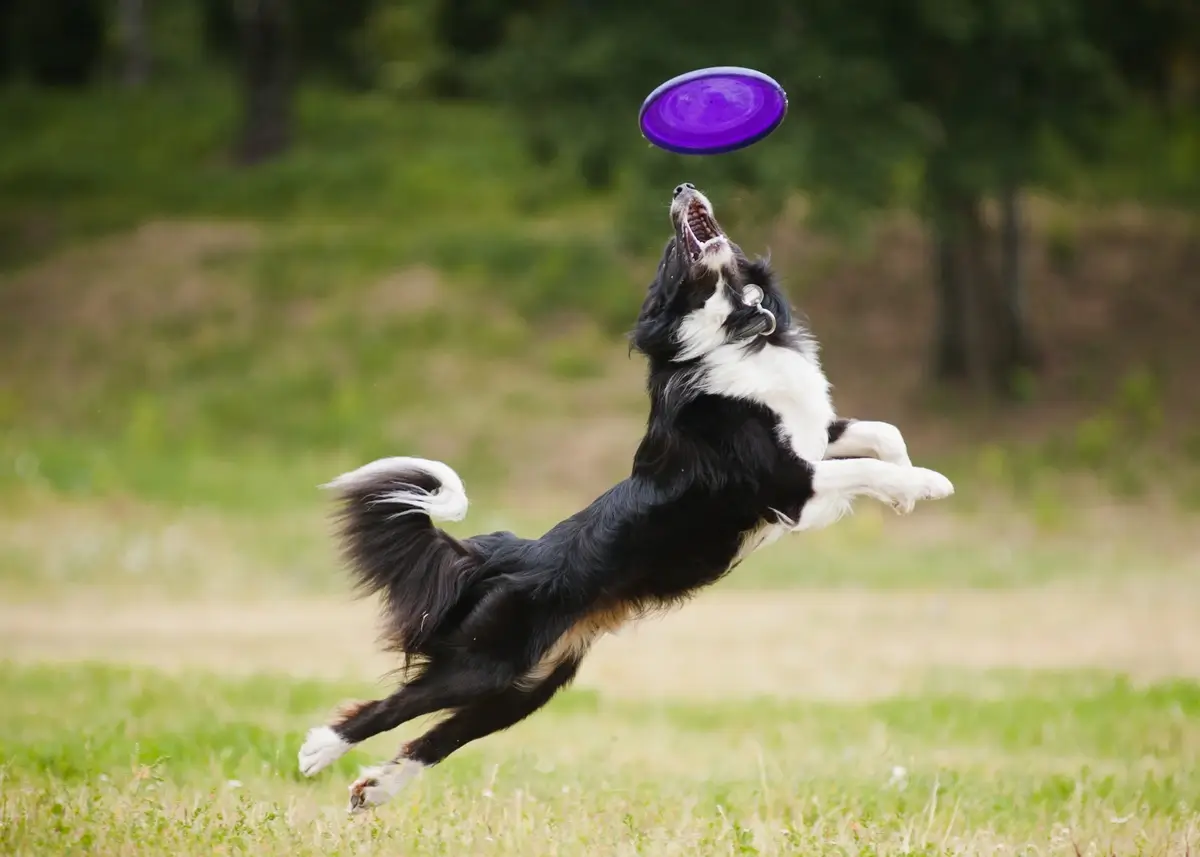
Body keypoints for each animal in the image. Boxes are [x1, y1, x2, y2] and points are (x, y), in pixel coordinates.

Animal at [295, 180, 950, 806]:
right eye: (668, 257)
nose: (683, 186)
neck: (739, 336)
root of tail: (510, 557)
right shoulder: (786, 485)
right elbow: (865, 466)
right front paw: (924, 484)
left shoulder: (814, 436)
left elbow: (882, 435)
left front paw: (910, 488)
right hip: (487, 662)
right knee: (394, 705)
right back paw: (318, 749)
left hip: (529, 686)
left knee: (436, 737)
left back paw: (375, 790)